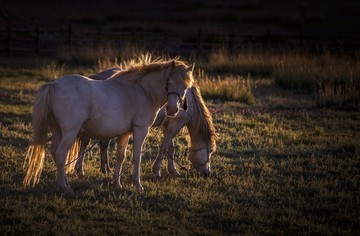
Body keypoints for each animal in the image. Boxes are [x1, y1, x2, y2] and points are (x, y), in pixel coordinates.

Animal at [23, 57, 193, 194]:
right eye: (169, 83)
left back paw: (66, 183)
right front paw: (137, 185)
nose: (173, 110)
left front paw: (116, 183)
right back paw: (64, 188)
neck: (143, 91)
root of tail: (53, 85)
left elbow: (120, 157)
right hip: (70, 132)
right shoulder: (140, 129)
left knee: (54, 153)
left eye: (186, 87)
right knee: (60, 154)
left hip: (57, 132)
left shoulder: (125, 133)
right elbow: (136, 157)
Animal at [74, 68, 215, 179]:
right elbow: (165, 147)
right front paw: (157, 171)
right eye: (211, 151)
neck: (189, 103)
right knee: (86, 142)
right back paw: (80, 170)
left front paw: (173, 170)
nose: (207, 173)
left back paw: (104, 169)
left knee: (101, 143)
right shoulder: (174, 125)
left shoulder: (167, 126)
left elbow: (171, 147)